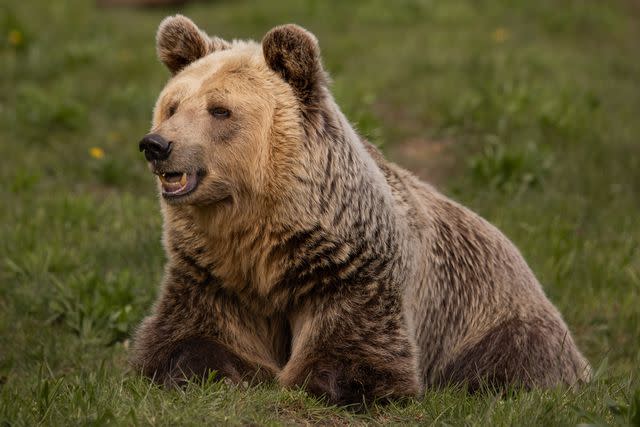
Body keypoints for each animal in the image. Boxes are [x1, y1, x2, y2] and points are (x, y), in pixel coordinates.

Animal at [130, 15, 592, 404]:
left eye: (220, 110)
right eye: (173, 105)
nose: (157, 144)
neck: (261, 229)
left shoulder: (352, 271)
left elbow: (354, 352)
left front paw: (327, 382)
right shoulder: (213, 273)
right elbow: (190, 337)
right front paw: (208, 371)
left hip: (491, 316)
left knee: (513, 361)